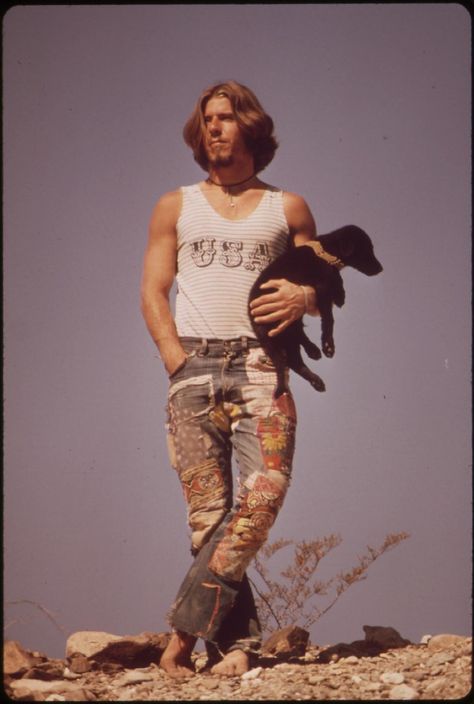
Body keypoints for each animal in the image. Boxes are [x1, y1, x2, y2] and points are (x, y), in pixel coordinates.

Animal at [250, 224, 384, 396]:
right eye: (367, 249)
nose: (380, 269)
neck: (323, 253)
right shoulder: (322, 288)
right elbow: (329, 318)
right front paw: (328, 345)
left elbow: (336, 278)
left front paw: (340, 294)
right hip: (276, 333)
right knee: (289, 360)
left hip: (289, 326)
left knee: (295, 355)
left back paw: (314, 363)